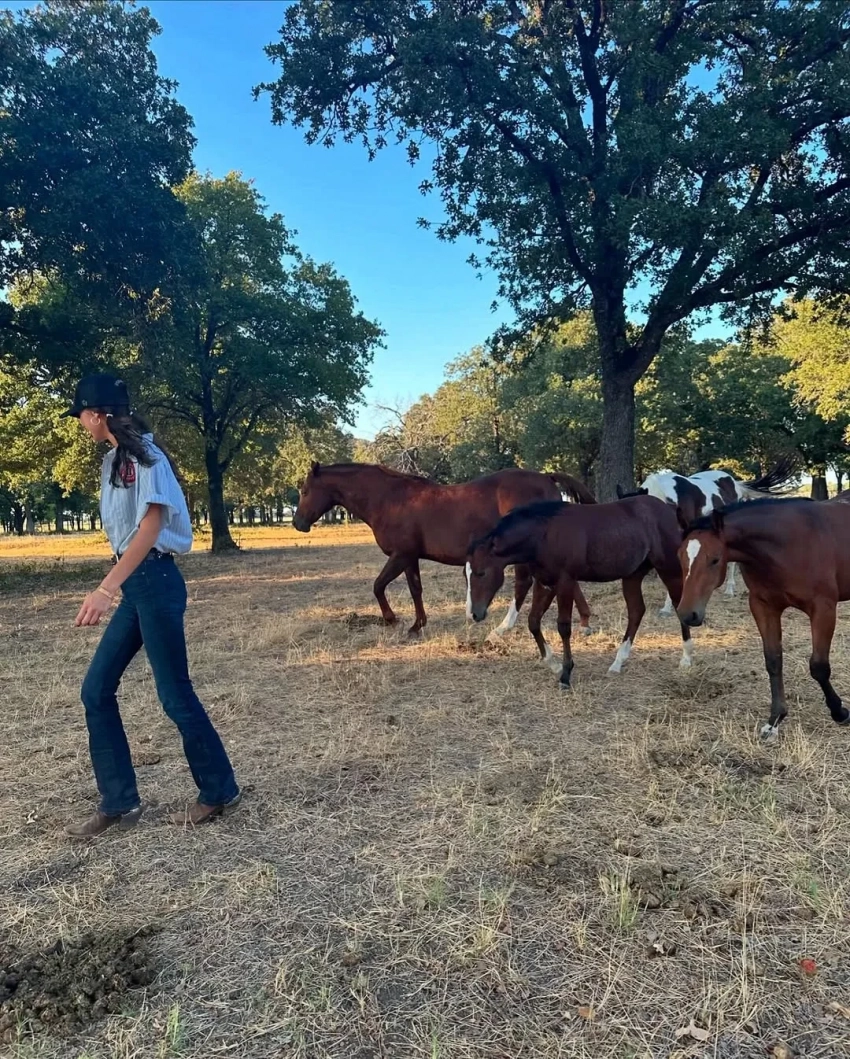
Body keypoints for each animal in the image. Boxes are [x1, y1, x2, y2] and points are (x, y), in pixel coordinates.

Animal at [292, 462, 597, 637]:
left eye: (305, 491)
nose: (298, 523)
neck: (390, 499)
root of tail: (547, 478)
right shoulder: (410, 558)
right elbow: (415, 589)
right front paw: (417, 625)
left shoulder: (400, 555)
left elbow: (378, 586)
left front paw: (391, 619)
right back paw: (584, 622)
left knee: (524, 584)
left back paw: (502, 628)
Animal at [466, 494, 694, 688]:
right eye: (466, 574)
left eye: (481, 573)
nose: (475, 614)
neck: (544, 535)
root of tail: (669, 509)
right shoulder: (545, 583)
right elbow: (533, 621)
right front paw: (553, 664)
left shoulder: (565, 582)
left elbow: (564, 627)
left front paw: (566, 675)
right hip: (633, 575)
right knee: (636, 611)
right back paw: (617, 663)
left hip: (669, 570)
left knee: (678, 605)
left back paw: (686, 659)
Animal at [677, 497, 850, 738]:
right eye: (679, 556)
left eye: (715, 559)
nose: (687, 614)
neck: (789, 544)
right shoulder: (764, 607)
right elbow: (773, 661)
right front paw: (775, 720)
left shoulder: (823, 609)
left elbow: (819, 667)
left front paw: (839, 712)